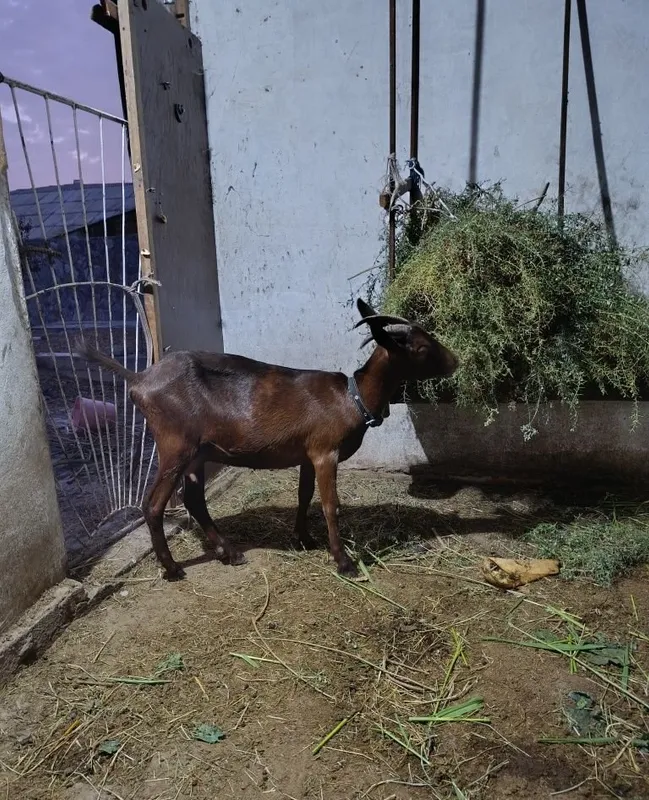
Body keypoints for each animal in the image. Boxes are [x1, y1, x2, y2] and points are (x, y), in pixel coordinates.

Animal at [76, 298, 458, 581]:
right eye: (421, 347)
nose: (454, 361)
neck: (352, 398)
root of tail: (139, 378)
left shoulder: (308, 454)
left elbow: (304, 497)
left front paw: (304, 538)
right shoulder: (326, 451)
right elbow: (330, 505)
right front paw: (344, 562)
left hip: (198, 452)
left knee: (194, 500)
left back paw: (230, 553)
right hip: (175, 444)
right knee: (153, 505)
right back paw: (172, 569)